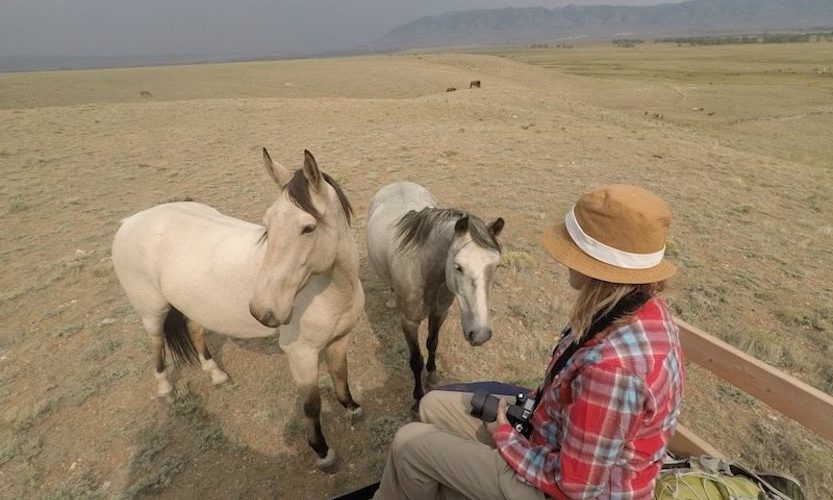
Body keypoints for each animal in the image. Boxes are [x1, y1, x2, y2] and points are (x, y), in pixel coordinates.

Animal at [368, 182, 504, 408]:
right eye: (458, 267)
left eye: (496, 266)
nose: (481, 334)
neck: (425, 271)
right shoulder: (409, 322)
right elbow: (415, 360)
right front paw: (418, 398)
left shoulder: (440, 313)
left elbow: (432, 343)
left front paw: (432, 375)